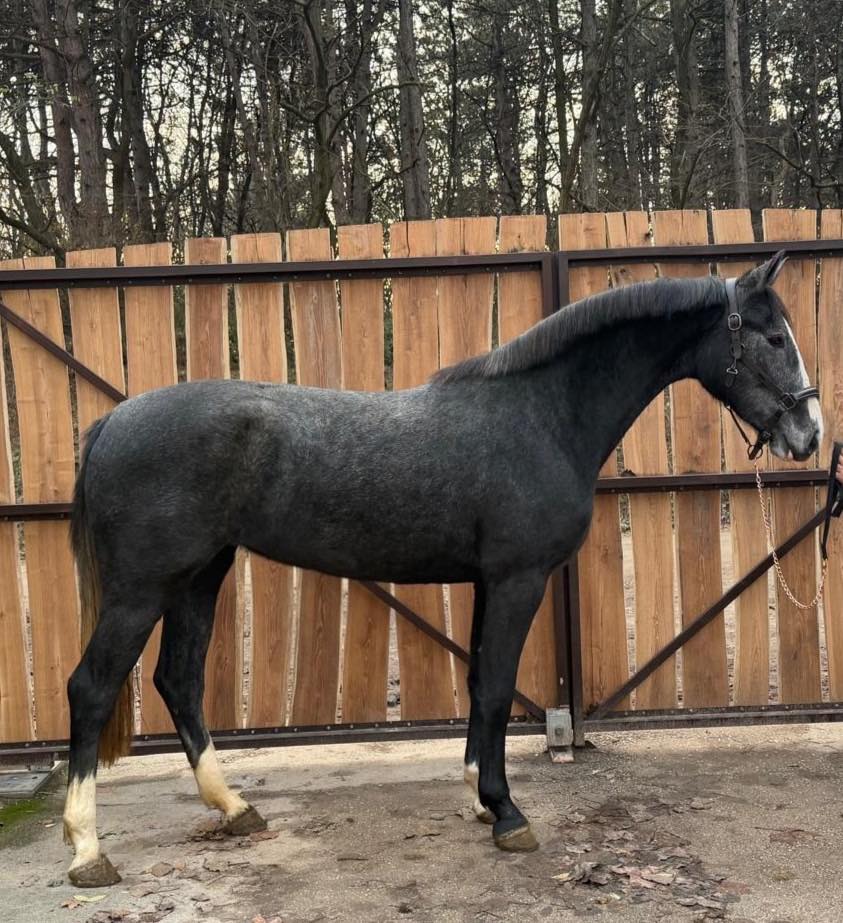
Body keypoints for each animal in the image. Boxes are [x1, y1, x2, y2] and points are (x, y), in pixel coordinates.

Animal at [62, 251, 822, 886]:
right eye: (773, 339)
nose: (808, 435)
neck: (541, 414)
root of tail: (111, 423)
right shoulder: (518, 579)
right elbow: (497, 687)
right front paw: (507, 813)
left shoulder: (490, 582)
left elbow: (482, 683)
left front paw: (483, 801)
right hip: (142, 589)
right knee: (93, 687)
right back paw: (88, 850)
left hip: (200, 575)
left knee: (179, 681)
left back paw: (234, 808)